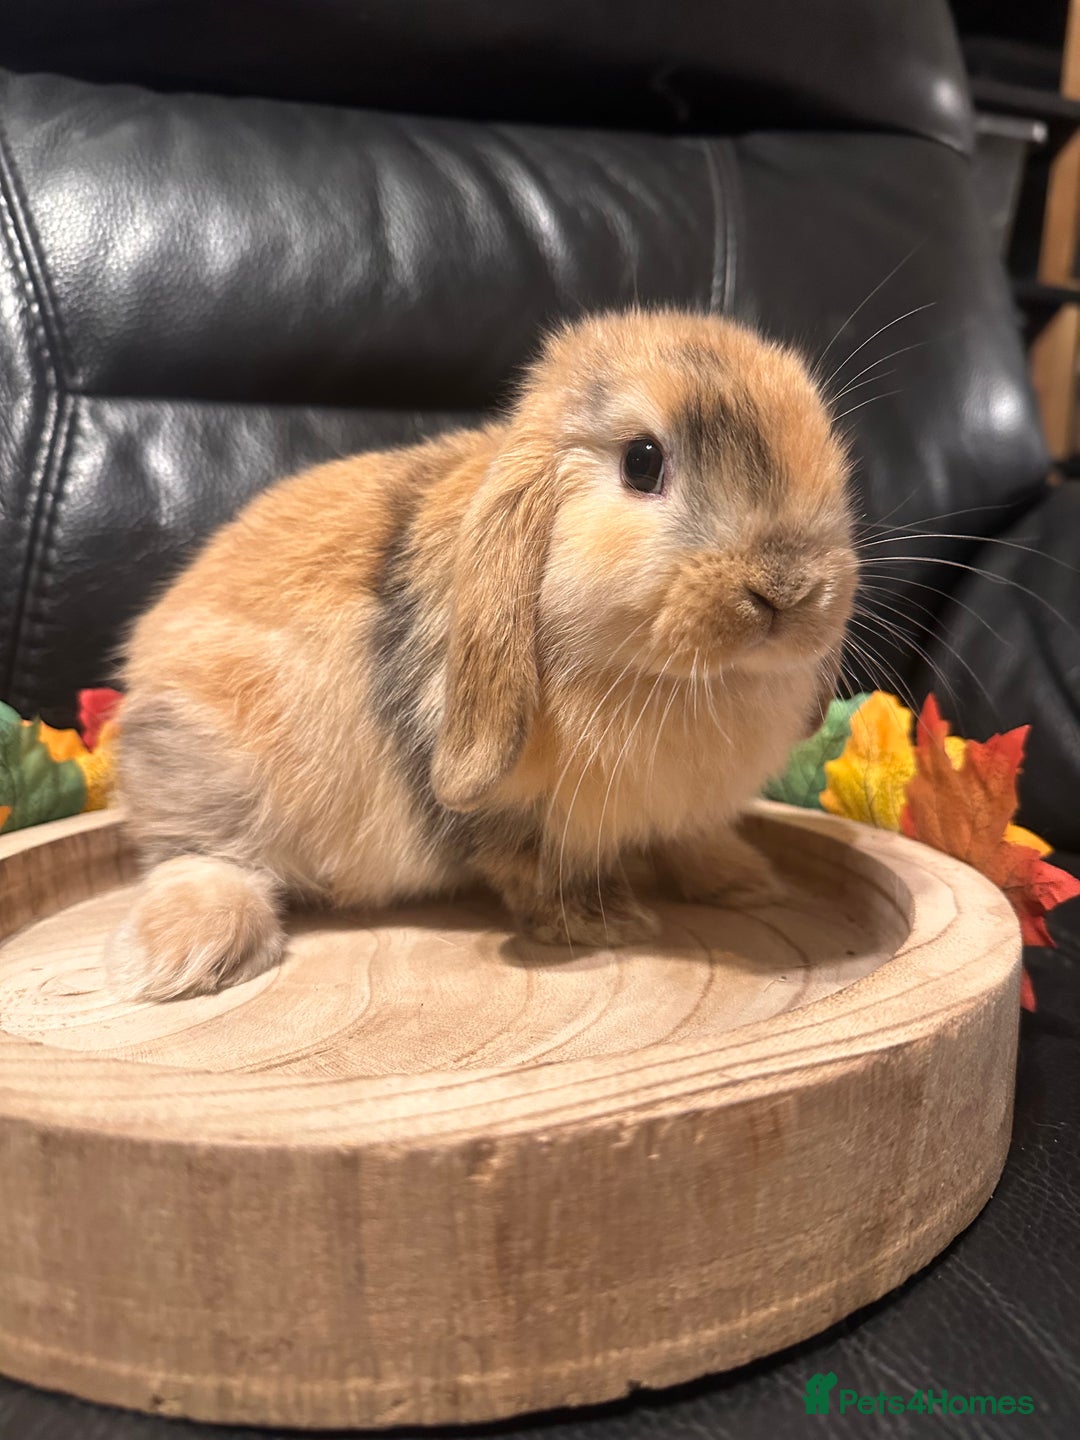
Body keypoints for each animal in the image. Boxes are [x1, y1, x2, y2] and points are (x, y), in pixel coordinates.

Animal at [106, 308, 857, 1001]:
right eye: (642, 462)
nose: (787, 587)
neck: (674, 679)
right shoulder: (500, 809)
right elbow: (532, 866)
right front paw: (604, 924)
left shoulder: (684, 809)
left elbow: (691, 839)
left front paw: (747, 882)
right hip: (212, 760)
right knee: (193, 854)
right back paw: (195, 953)